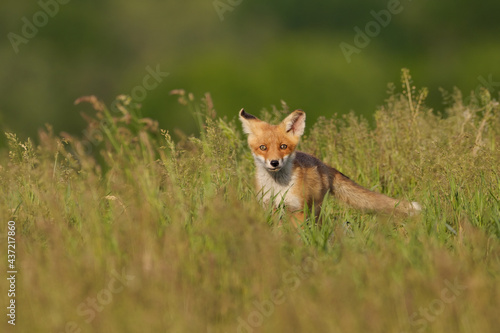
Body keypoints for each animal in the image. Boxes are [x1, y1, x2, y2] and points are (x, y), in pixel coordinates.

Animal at [240, 109, 420, 226]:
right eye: (263, 147)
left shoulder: (297, 209)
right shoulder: (268, 207)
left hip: (315, 208)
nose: (274, 162)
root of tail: (324, 165)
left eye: (283, 146)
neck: (277, 187)